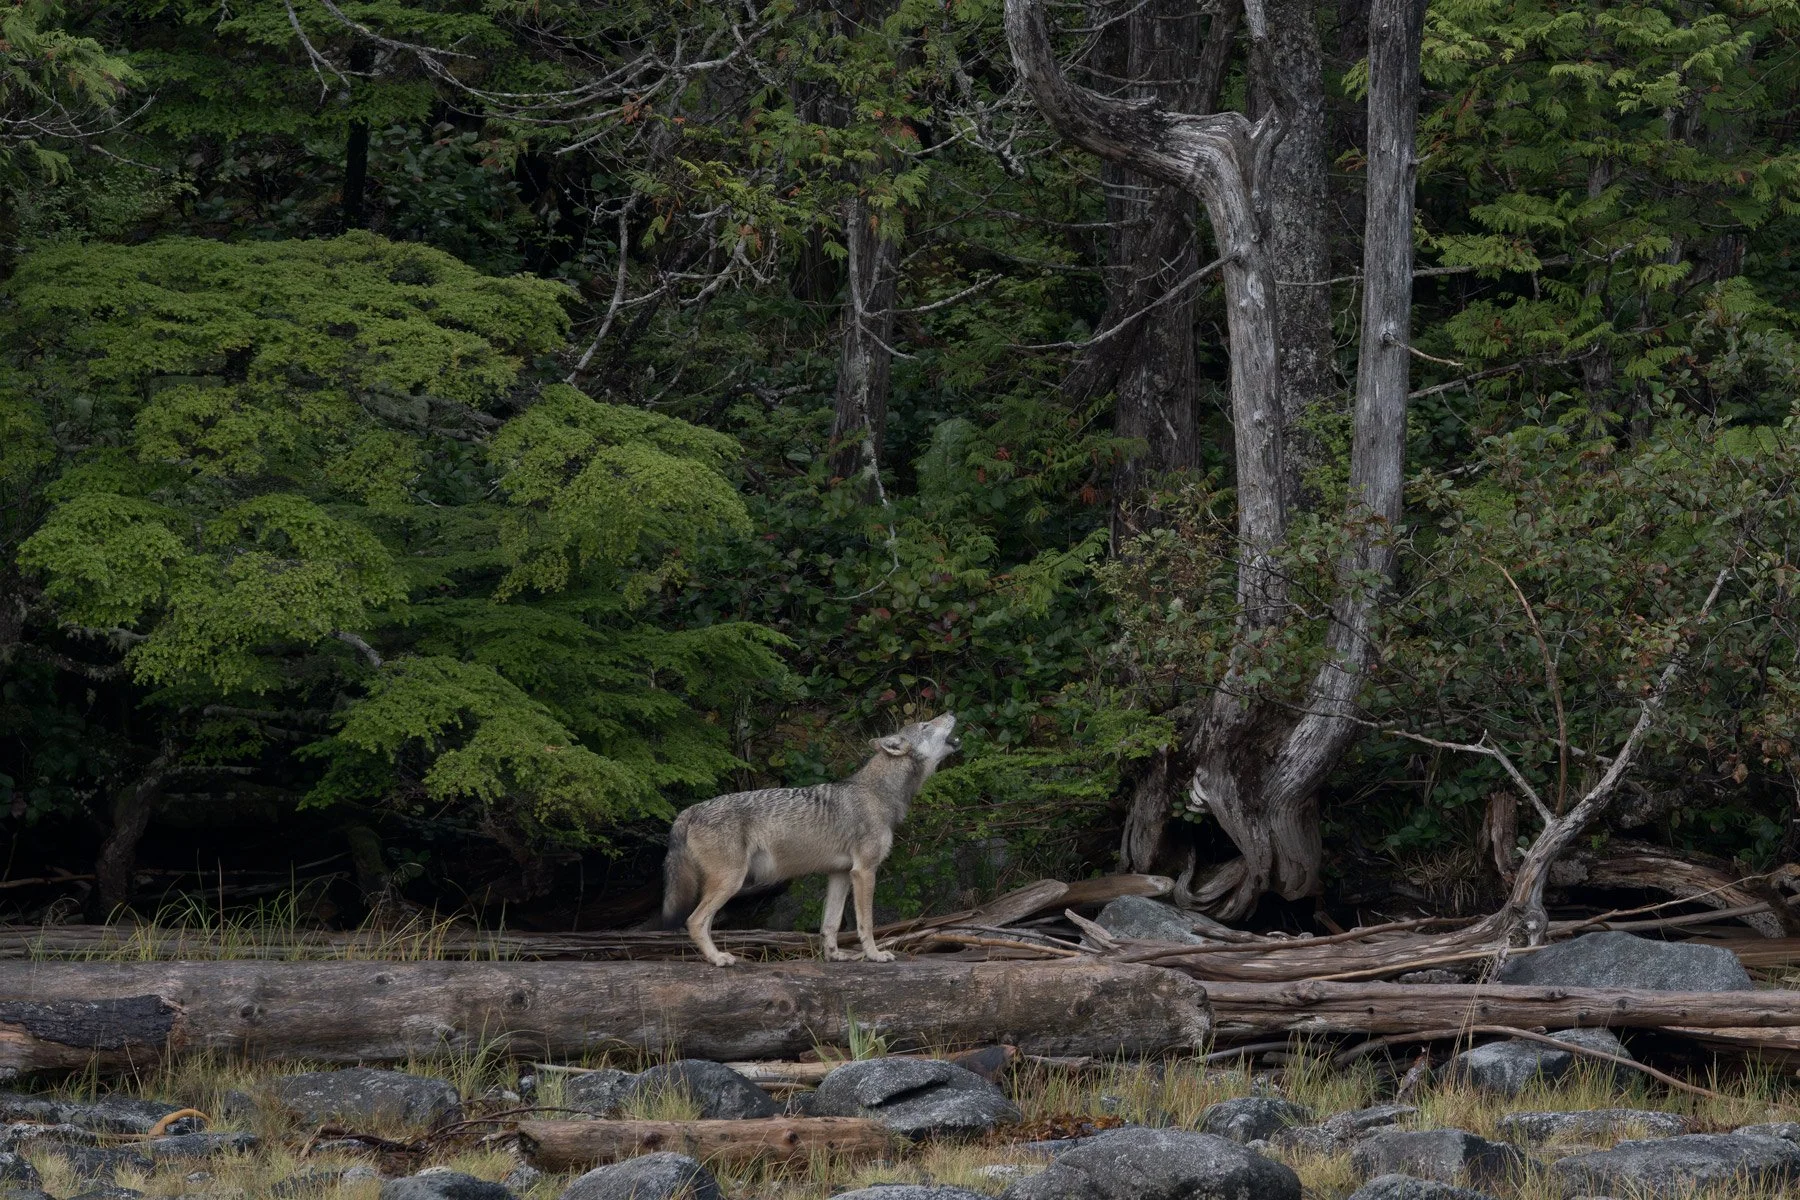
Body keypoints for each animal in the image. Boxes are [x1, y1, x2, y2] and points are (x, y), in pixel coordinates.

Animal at [660, 713, 961, 967]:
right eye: (925, 725)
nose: (950, 712)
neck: (880, 794)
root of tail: (690, 810)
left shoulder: (840, 874)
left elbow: (830, 924)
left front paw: (835, 956)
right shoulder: (864, 871)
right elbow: (866, 923)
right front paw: (875, 955)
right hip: (731, 881)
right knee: (694, 921)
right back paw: (718, 959)